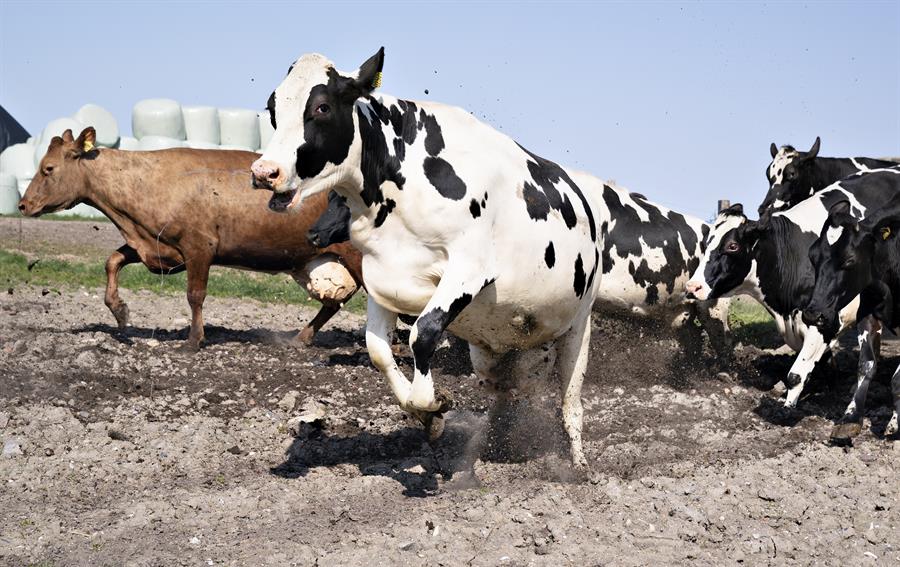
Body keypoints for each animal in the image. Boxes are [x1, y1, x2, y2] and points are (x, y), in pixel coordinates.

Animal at [18, 128, 362, 350]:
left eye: (48, 168)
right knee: (334, 302)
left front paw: (194, 341)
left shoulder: (199, 247)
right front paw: (120, 311)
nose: (23, 205)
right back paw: (300, 339)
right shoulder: (153, 244)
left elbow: (195, 295)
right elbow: (112, 261)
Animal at [250, 47, 608, 470]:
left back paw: (579, 466)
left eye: (321, 107)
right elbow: (378, 351)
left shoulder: (468, 271)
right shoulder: (382, 278)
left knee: (570, 400)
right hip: (494, 349)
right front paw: (427, 416)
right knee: (507, 392)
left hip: (578, 326)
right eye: (273, 107)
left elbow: (422, 334)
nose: (264, 172)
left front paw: (434, 404)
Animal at [804, 197, 900, 446]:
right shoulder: (866, 314)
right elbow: (865, 366)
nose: (813, 314)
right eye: (812, 257)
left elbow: (897, 380)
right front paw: (850, 418)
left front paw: (896, 423)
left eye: (849, 260)